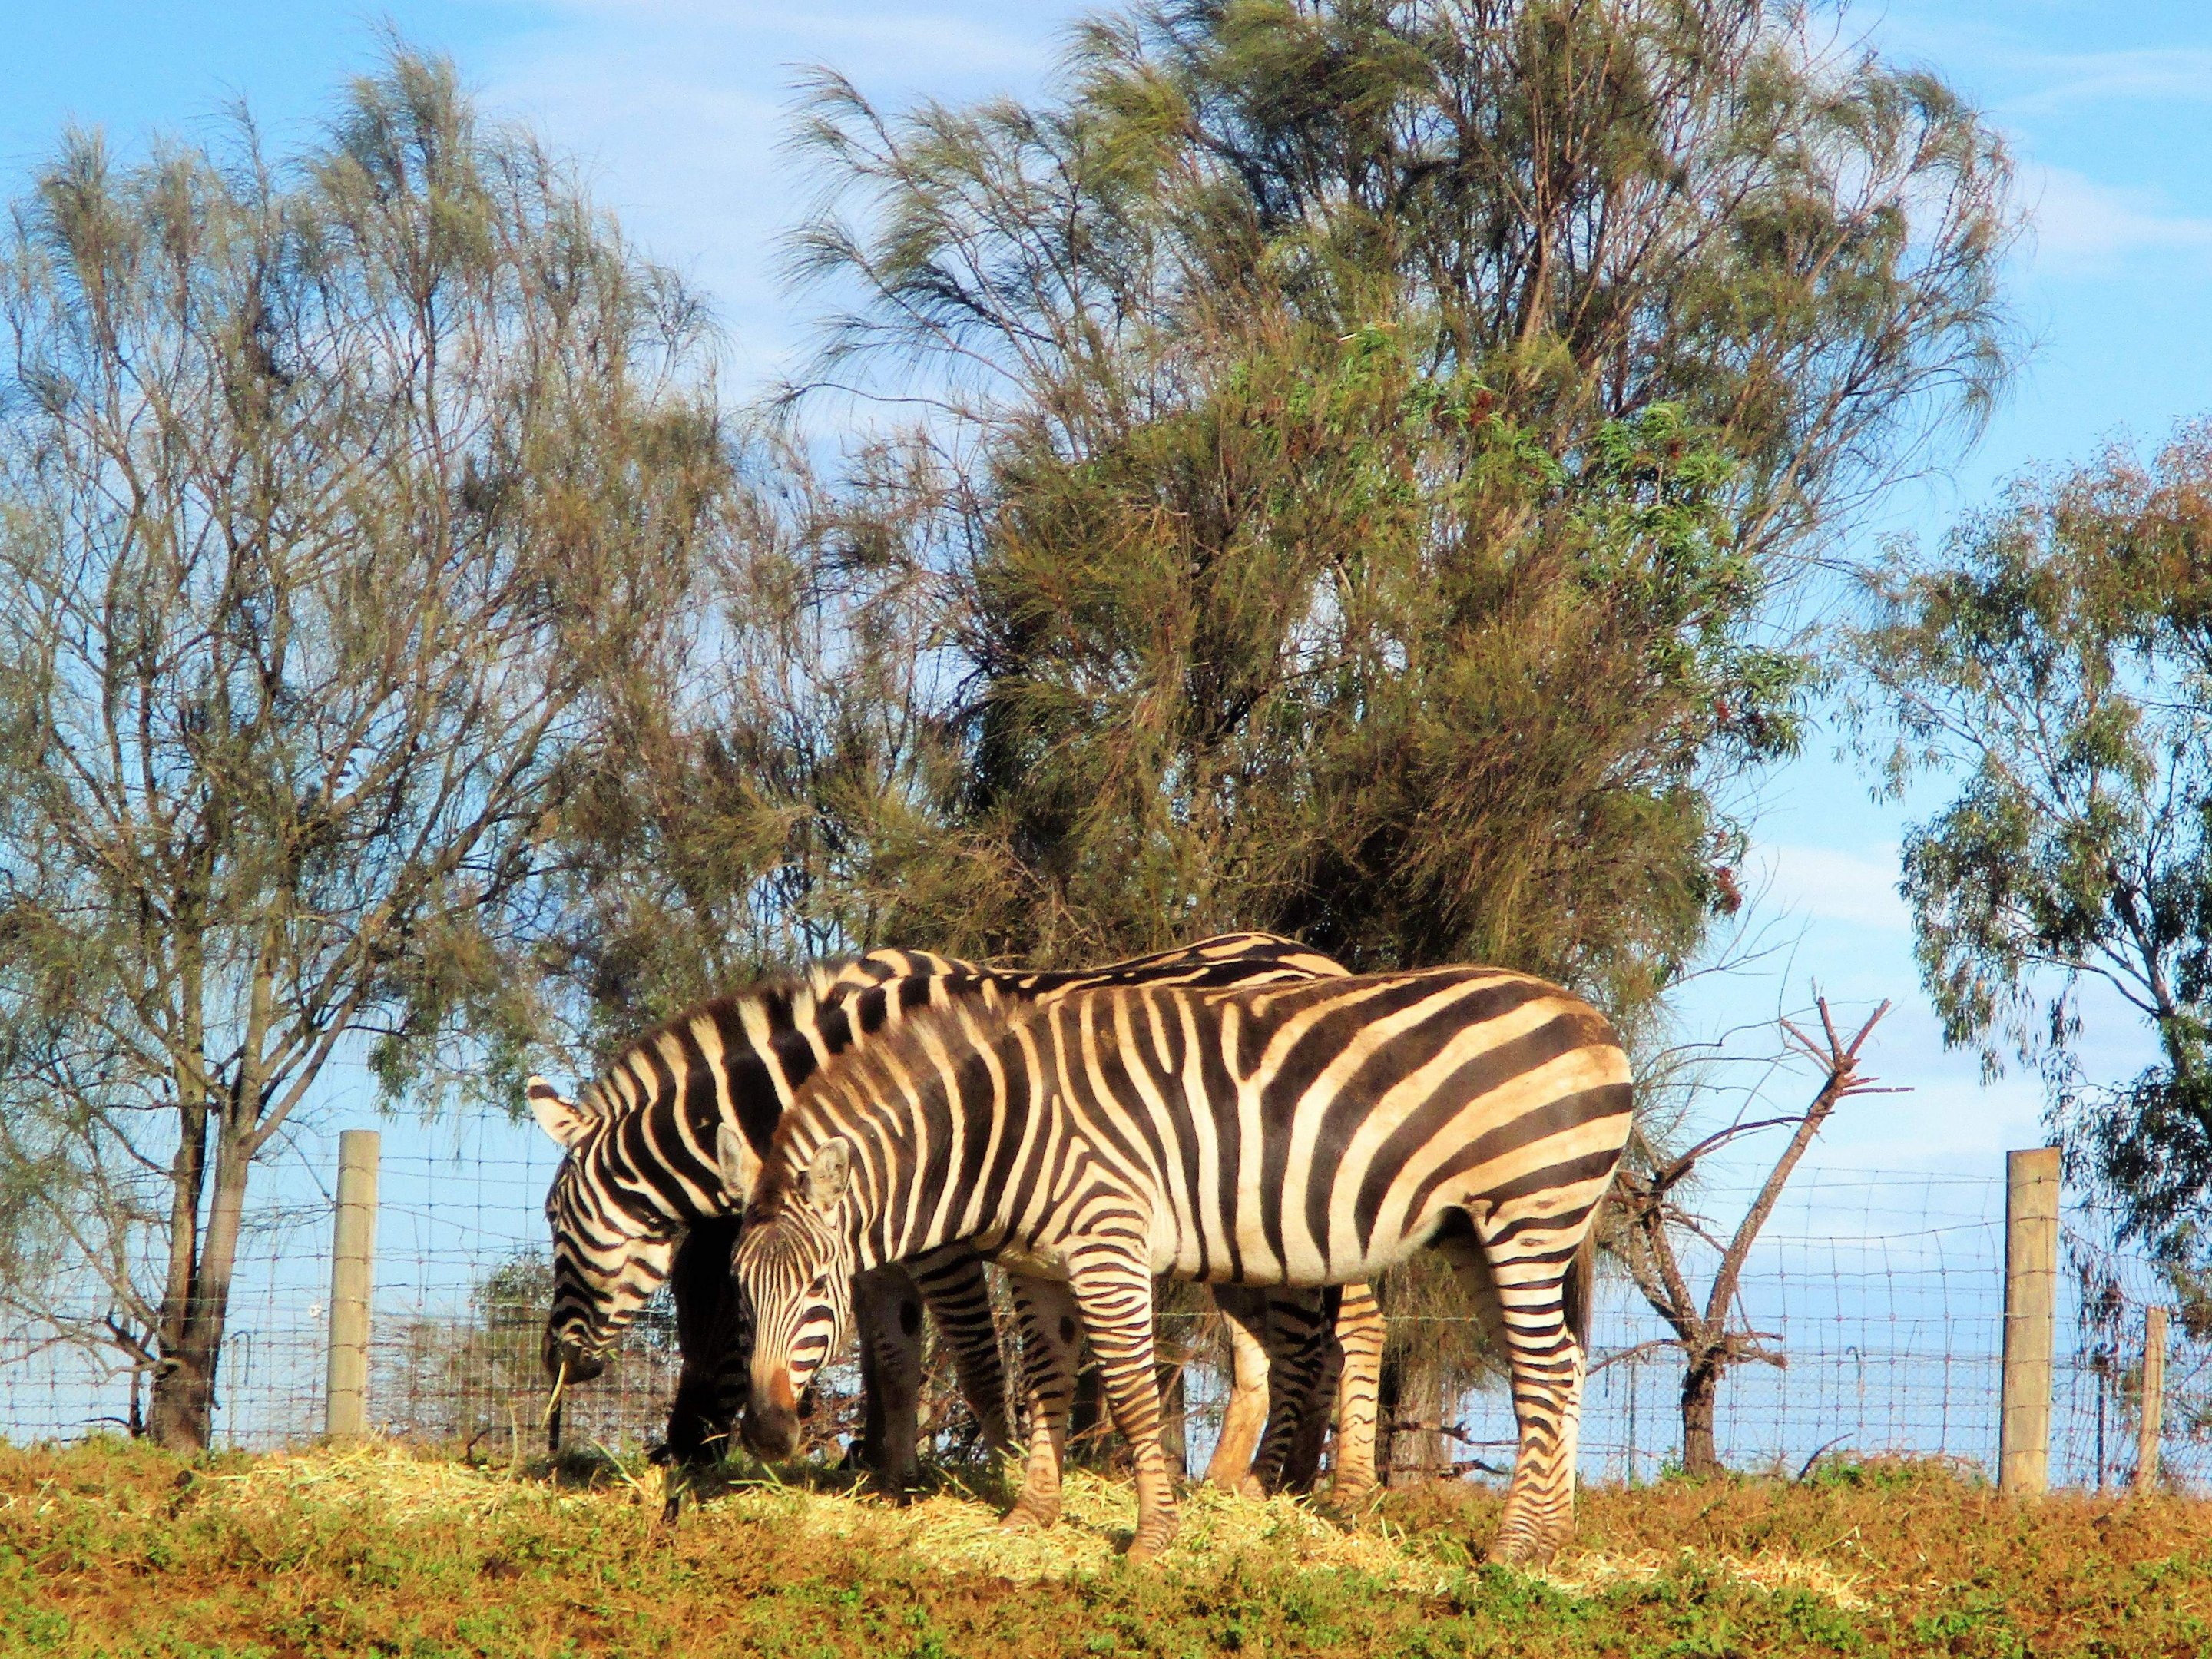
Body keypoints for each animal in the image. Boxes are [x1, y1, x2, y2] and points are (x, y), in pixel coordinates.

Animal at [525, 933, 1384, 1494]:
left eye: (557, 1225)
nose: (557, 1362)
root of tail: (1322, 960)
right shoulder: (866, 1233)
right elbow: (892, 1354)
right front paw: (888, 1473)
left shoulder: (944, 1234)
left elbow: (971, 1357)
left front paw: (1000, 1467)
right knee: (1267, 1351)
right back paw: (1252, 1483)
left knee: (1352, 1328)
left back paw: (1334, 1491)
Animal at [725, 967, 1633, 1564]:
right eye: (740, 1292)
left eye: (819, 1289)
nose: (767, 1433)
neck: (1003, 1129)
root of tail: (1588, 1015)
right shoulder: (1038, 1268)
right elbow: (1048, 1384)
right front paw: (1033, 1518)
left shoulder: (1107, 1243)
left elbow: (1130, 1394)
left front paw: (1153, 1538)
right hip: (1478, 1234)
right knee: (1561, 1366)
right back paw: (1554, 1540)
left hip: (1529, 1215)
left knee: (1542, 1373)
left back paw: (1513, 1547)